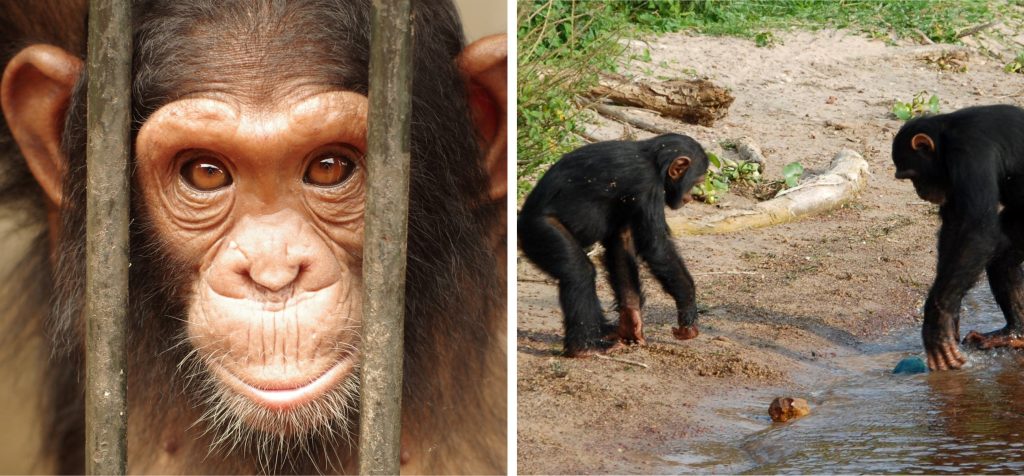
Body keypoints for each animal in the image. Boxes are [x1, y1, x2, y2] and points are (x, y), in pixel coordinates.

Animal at [520, 133, 712, 356]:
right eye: (697, 181)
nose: (689, 198)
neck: (654, 162)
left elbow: (621, 243)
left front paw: (631, 322)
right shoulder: (647, 186)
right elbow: (656, 247)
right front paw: (688, 311)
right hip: (542, 232)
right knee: (578, 273)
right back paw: (583, 347)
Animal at [892, 103, 1024, 370]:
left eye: (911, 175)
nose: (919, 191)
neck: (946, 136)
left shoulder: (971, 154)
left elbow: (977, 230)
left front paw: (936, 322)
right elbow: (954, 225)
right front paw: (951, 317)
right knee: (1003, 261)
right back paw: (1013, 333)